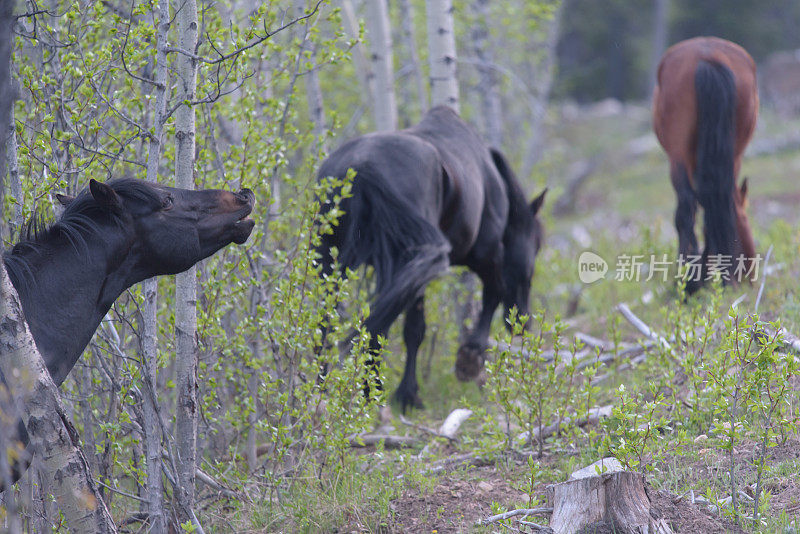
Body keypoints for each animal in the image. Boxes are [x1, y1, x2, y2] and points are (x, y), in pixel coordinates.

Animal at [316, 105, 548, 414]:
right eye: (536, 244)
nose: (523, 321)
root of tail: (363, 166)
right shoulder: (487, 254)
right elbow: (489, 296)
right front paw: (466, 361)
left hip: (329, 259)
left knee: (329, 322)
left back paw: (323, 387)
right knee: (381, 327)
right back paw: (372, 392)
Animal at [648, 37, 756, 296]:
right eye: (746, 218)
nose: (751, 279)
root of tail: (710, 56)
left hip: (677, 156)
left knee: (687, 209)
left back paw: (688, 282)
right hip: (730, 153)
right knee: (711, 207)